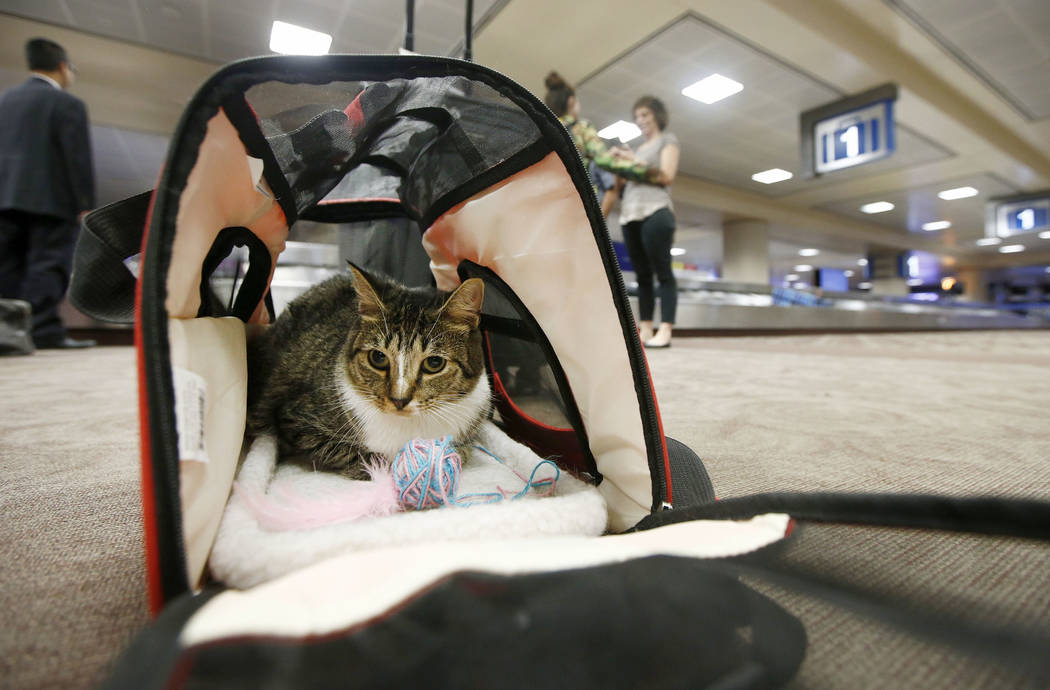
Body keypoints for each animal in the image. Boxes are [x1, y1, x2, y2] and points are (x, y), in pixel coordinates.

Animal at [247, 261, 489, 476]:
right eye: (378, 358)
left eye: (434, 363)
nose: (399, 400)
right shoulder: (294, 418)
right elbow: (349, 452)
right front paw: (380, 467)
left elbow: (464, 450)